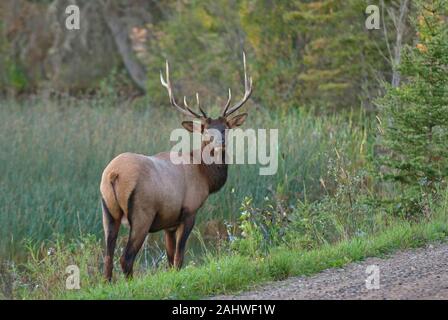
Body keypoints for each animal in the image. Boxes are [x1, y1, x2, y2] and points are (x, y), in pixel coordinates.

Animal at [101, 53, 254, 280]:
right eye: (206, 130)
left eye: (225, 128)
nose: (220, 143)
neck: (205, 177)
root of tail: (114, 174)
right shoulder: (189, 211)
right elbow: (179, 259)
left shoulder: (169, 223)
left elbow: (169, 258)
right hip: (142, 213)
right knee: (125, 258)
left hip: (108, 211)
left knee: (107, 258)